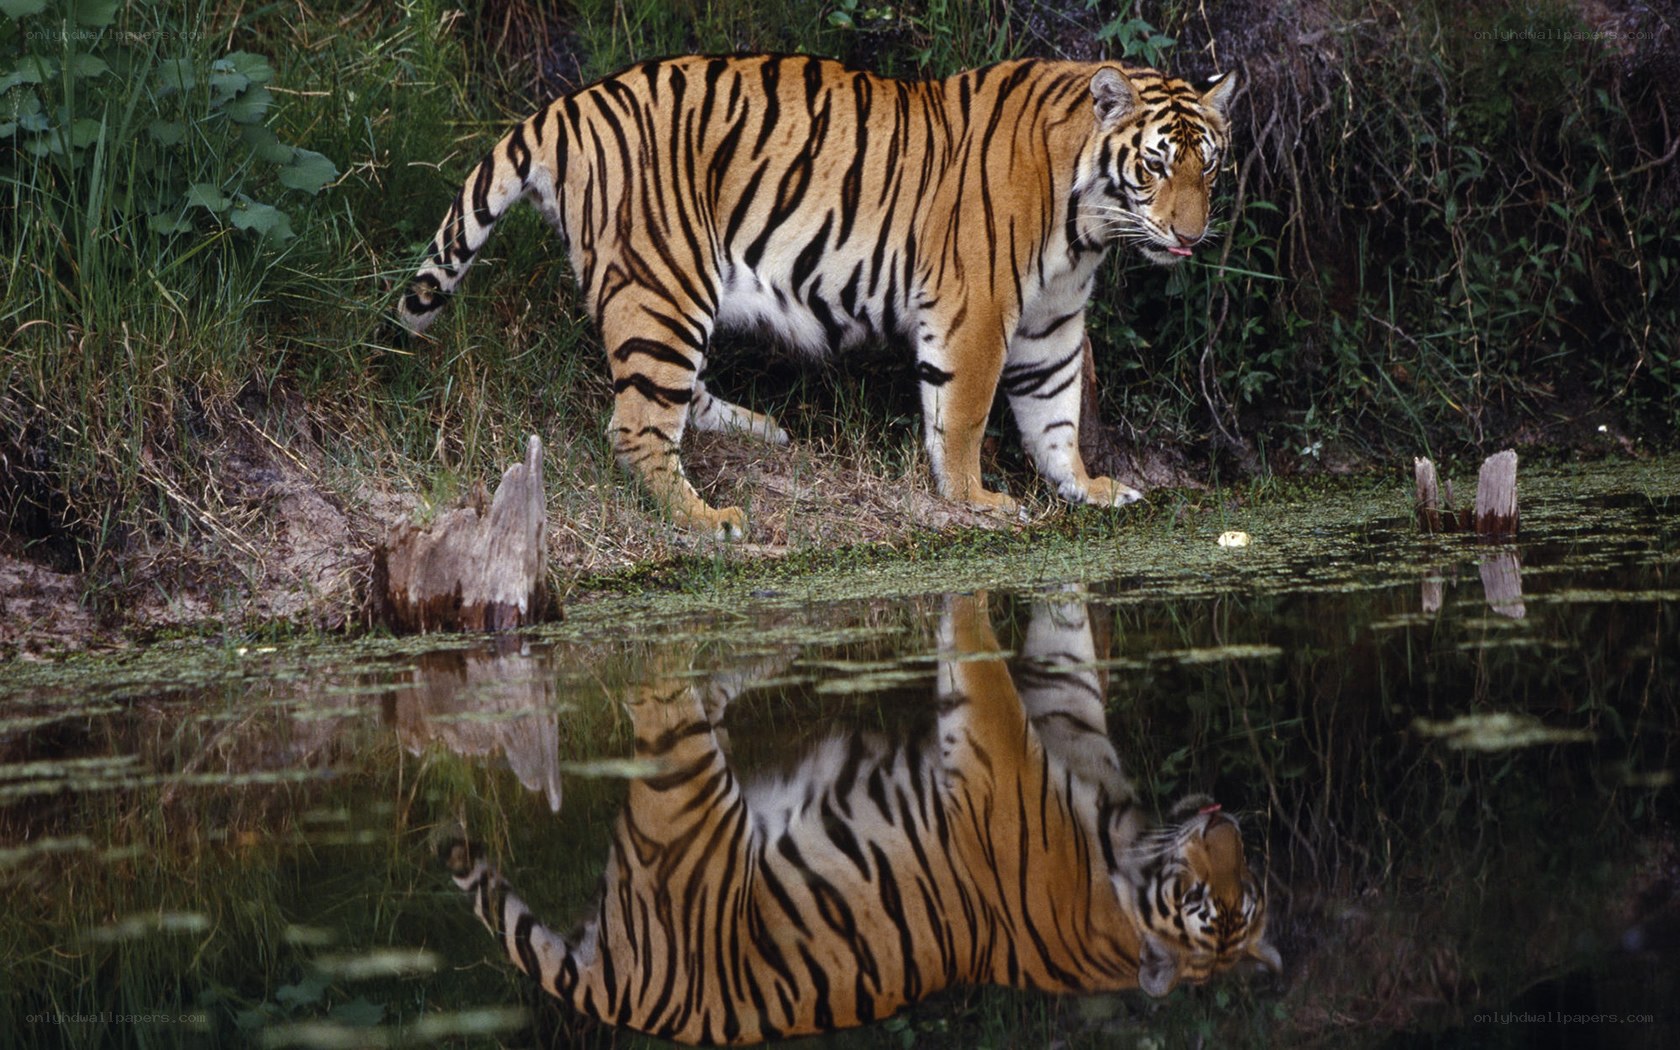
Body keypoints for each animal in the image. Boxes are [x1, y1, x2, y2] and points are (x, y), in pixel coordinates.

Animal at [397, 54, 1237, 538]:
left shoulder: (1053, 320)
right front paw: (976, 500)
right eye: (1155, 166)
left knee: (674, 395)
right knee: (637, 424)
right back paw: (709, 520)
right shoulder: (976, 308)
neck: (1087, 224)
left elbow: (1057, 412)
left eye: (1209, 167)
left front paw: (1088, 488)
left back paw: (759, 431)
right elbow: (964, 413)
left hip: (667, 297)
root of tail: (566, 107)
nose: (1192, 236)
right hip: (664, 282)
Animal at [442, 594, 1279, 1044]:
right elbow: (1016, 660)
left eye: (1237, 898)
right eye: (1208, 901)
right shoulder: (1018, 747)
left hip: (679, 793)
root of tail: (631, 996)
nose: (1226, 825)